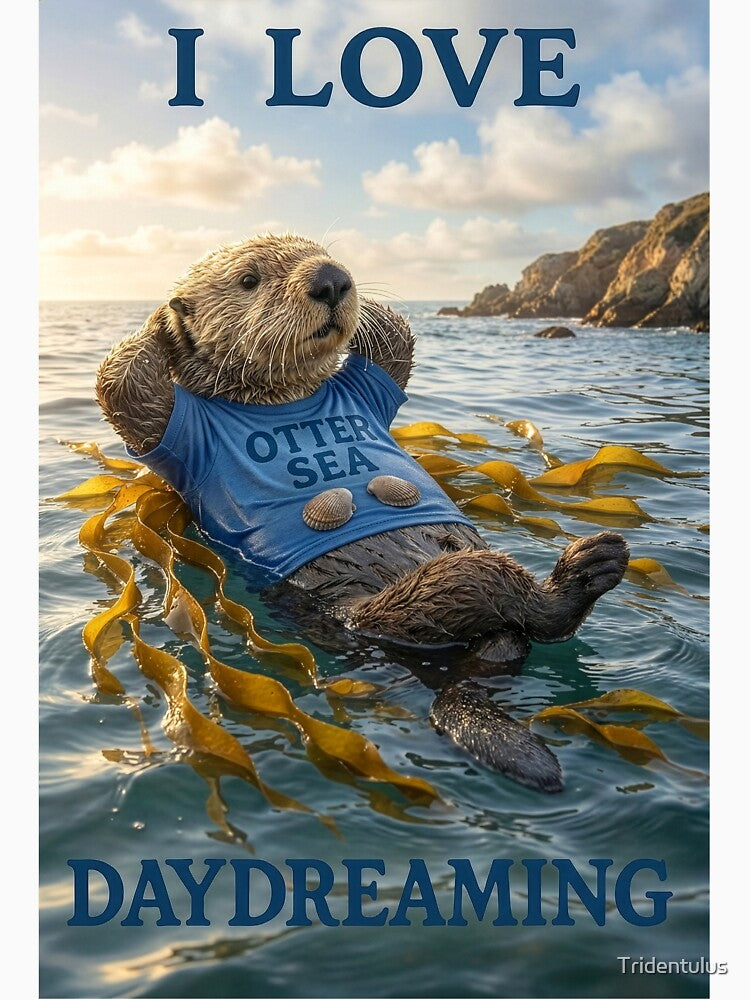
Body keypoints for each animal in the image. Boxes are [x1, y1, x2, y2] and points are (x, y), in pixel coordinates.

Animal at [96, 233, 629, 792]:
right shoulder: (179, 433)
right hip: (391, 610)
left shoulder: (369, 388)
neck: (283, 398)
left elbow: (395, 342)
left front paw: (363, 296)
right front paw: (162, 319)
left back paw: (598, 563)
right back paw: (584, 571)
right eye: (249, 280)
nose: (330, 278)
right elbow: (126, 388)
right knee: (509, 600)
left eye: (321, 253)